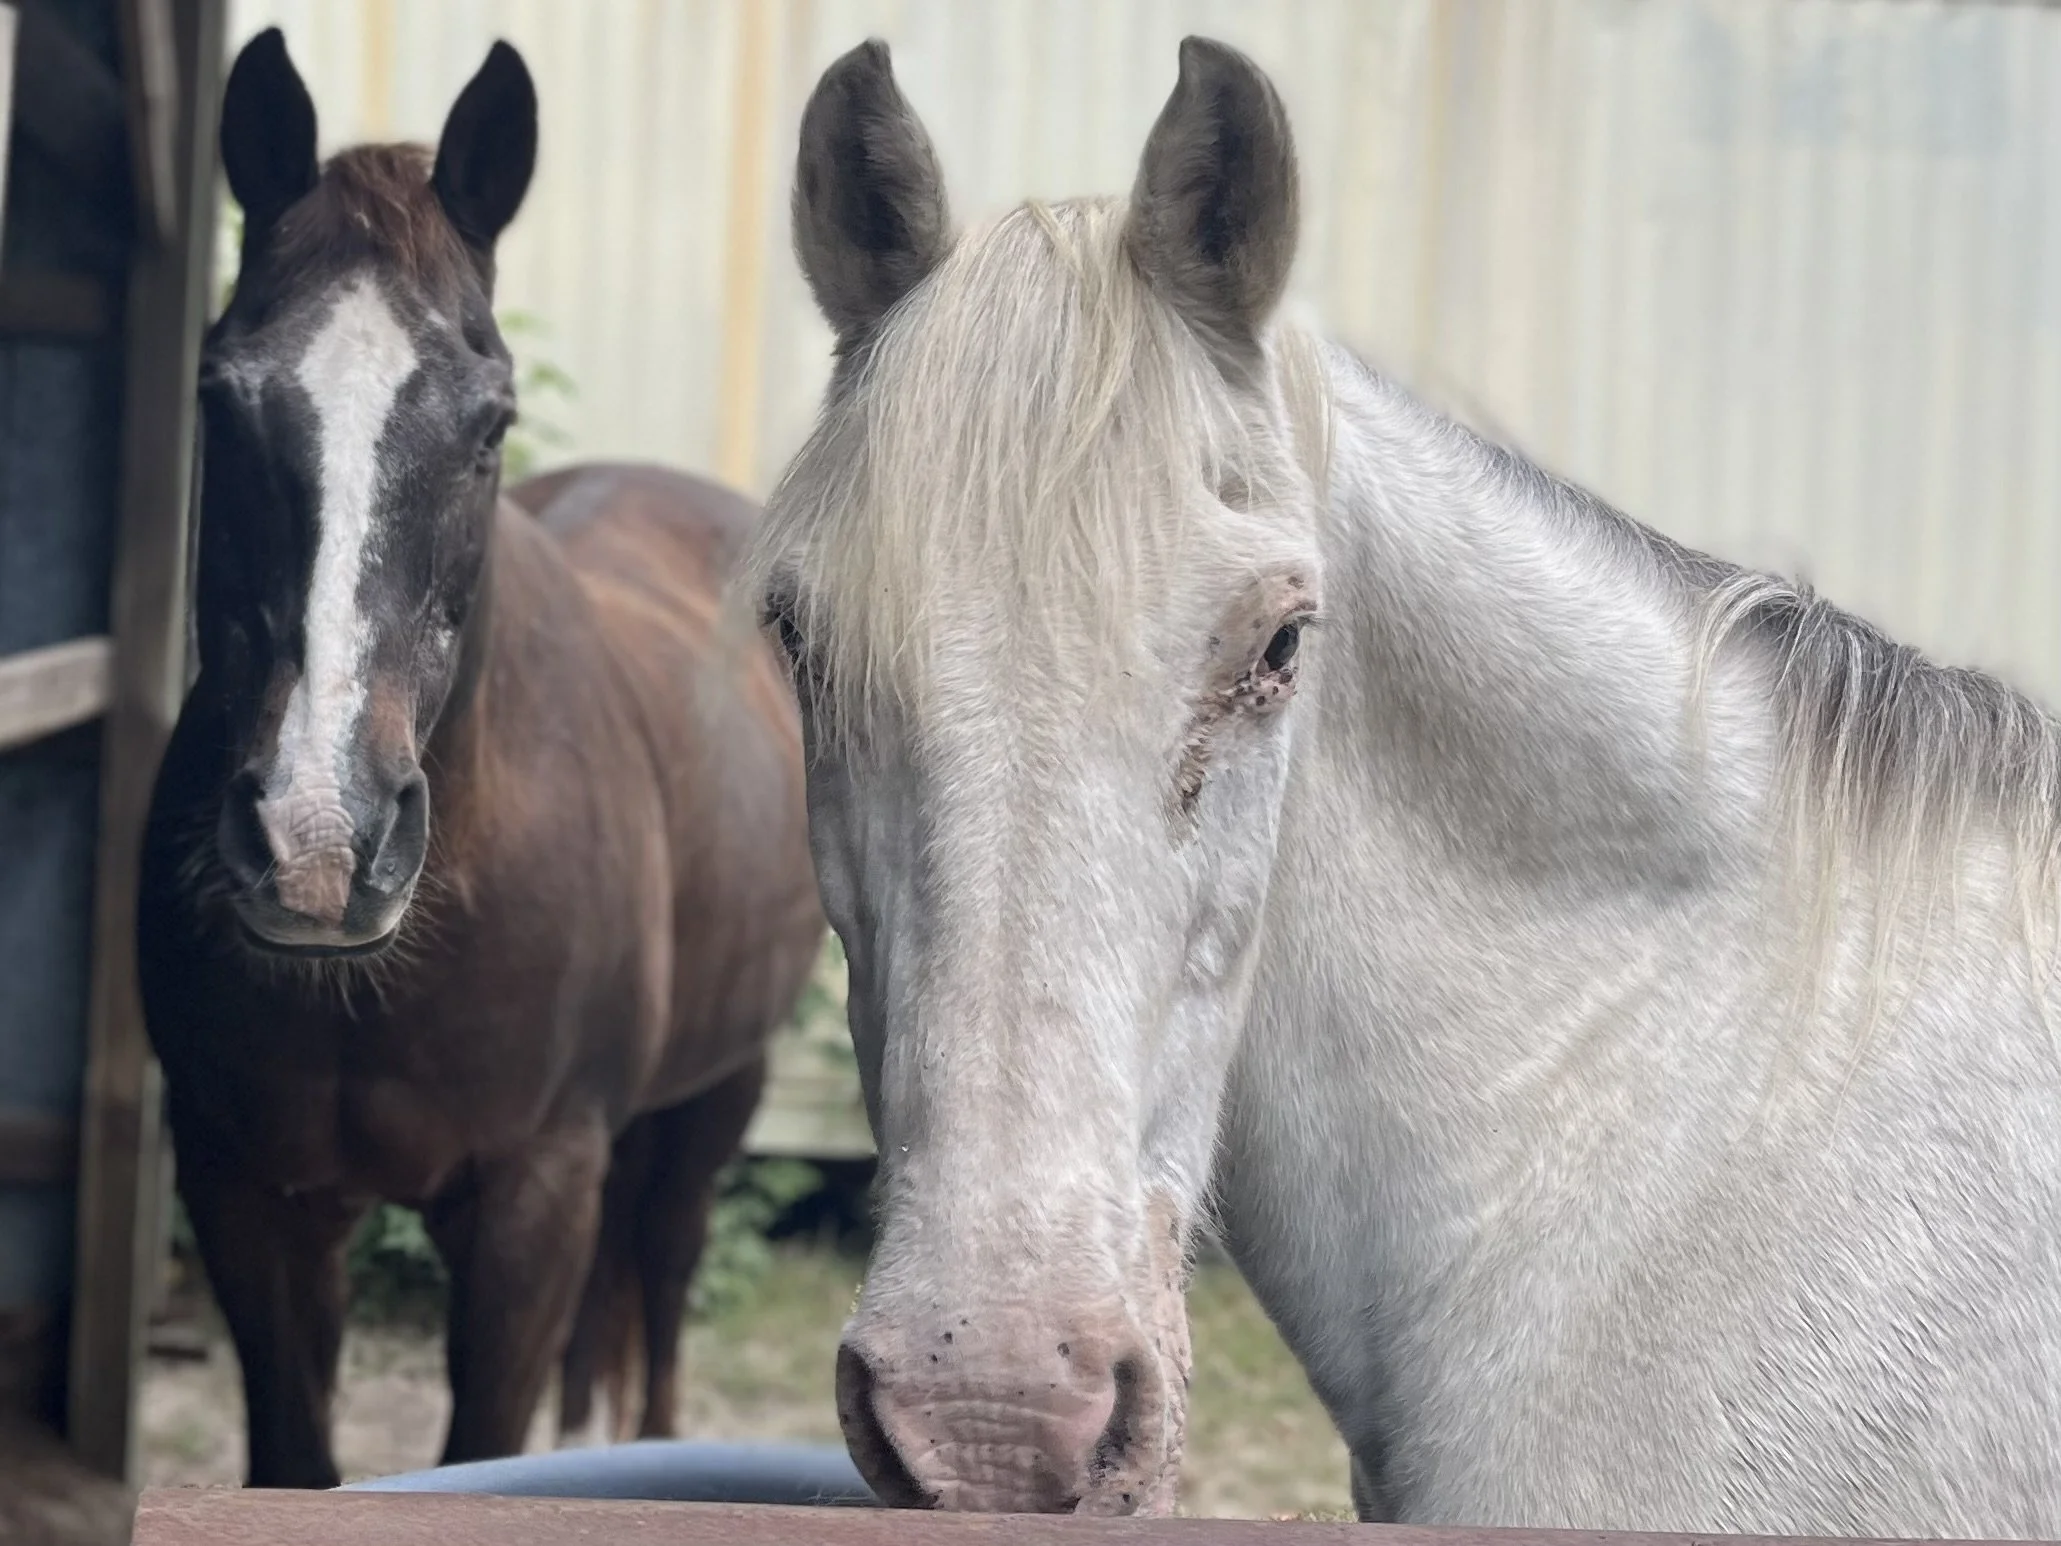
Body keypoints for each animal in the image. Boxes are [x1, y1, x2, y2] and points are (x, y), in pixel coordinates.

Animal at [138, 30, 822, 1487]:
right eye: (221, 398)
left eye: (490, 420)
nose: (319, 844)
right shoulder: (247, 1196)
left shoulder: (527, 1203)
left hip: (717, 1098)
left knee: (663, 1273)